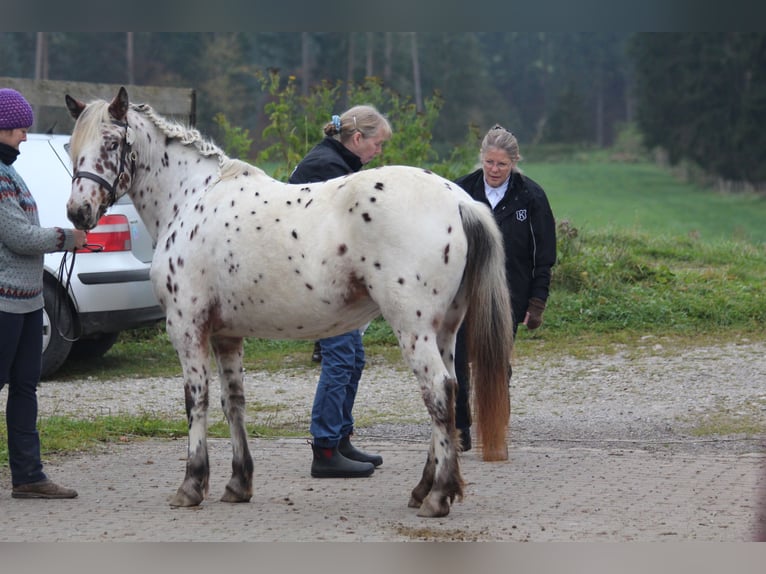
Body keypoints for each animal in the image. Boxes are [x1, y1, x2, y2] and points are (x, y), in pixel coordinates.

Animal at [63, 86, 512, 520]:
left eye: (110, 142)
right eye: (72, 146)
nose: (78, 212)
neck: (191, 197)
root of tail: (459, 201)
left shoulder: (187, 327)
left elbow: (196, 401)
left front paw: (191, 485)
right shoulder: (226, 335)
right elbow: (233, 402)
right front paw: (238, 483)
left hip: (413, 328)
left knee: (438, 392)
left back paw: (437, 497)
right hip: (445, 330)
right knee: (450, 390)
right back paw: (423, 490)